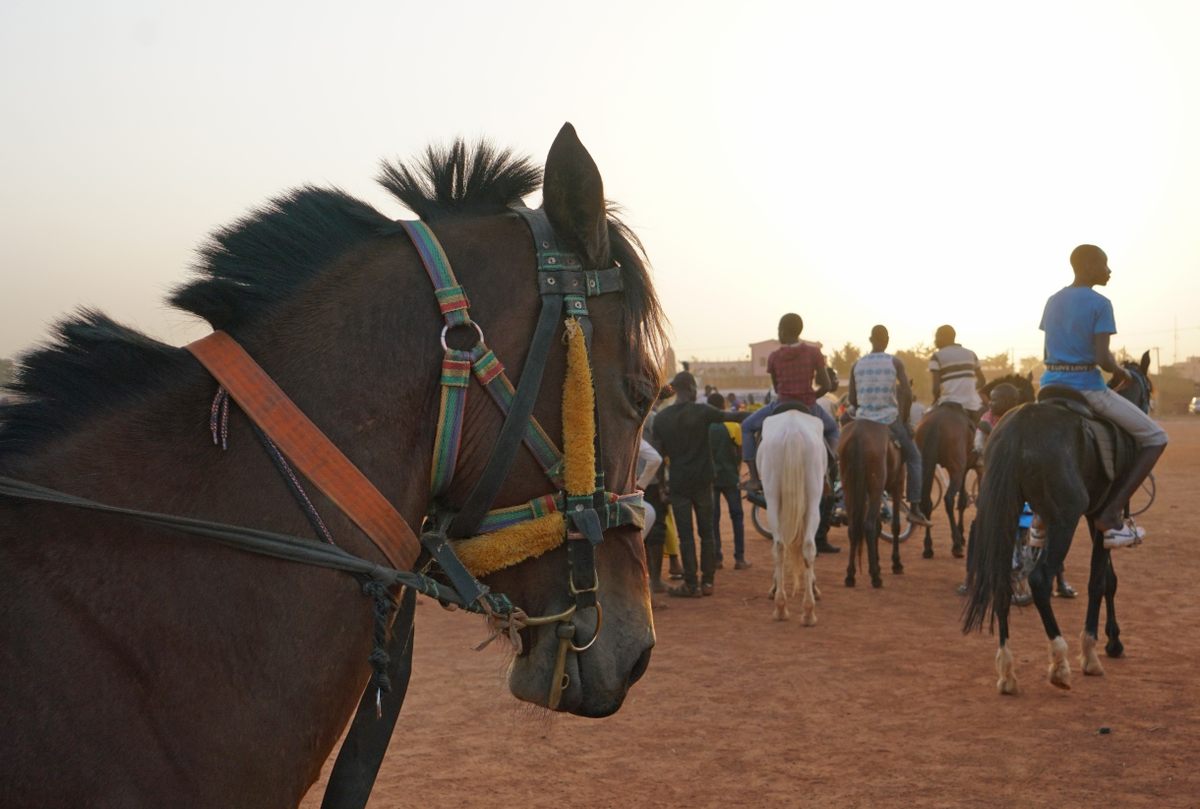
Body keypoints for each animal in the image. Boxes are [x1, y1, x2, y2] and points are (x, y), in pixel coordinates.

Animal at [758, 405, 825, 619]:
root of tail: (793, 432)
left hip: (773, 498)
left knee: (781, 546)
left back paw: (784, 607)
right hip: (812, 498)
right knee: (807, 545)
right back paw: (805, 611)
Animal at [840, 415, 902, 585]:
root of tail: (857, 437)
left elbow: (879, 526)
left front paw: (877, 564)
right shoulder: (897, 484)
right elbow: (895, 525)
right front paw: (896, 563)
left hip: (850, 487)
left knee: (854, 527)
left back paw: (850, 575)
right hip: (876, 485)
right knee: (868, 525)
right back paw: (875, 578)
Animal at [916, 400, 974, 556]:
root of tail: (935, 425)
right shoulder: (964, 467)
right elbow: (962, 500)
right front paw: (962, 535)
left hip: (925, 463)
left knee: (926, 501)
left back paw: (928, 547)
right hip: (956, 469)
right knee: (948, 499)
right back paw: (956, 544)